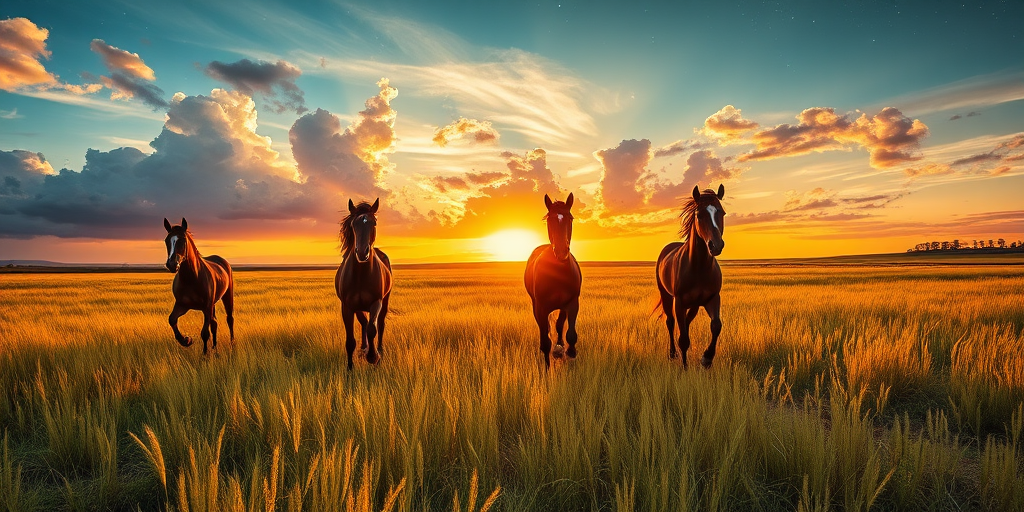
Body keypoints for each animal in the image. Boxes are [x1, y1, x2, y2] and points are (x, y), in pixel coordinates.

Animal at [163, 217, 234, 355]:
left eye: (183, 240)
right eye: (166, 240)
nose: (172, 264)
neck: (191, 278)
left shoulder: (206, 307)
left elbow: (205, 333)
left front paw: (204, 354)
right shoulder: (182, 305)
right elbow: (172, 319)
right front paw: (186, 340)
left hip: (227, 296)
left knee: (229, 319)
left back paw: (232, 344)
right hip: (212, 305)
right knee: (214, 323)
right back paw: (215, 348)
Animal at [336, 198, 393, 370]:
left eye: (374, 223)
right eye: (354, 224)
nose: (362, 253)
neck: (361, 274)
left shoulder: (376, 302)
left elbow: (372, 329)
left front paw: (373, 356)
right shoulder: (347, 307)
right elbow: (350, 341)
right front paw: (350, 369)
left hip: (385, 300)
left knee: (379, 323)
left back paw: (378, 349)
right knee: (364, 322)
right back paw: (363, 347)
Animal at [524, 193, 582, 368]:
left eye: (570, 218)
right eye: (549, 219)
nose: (562, 251)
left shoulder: (572, 303)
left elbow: (570, 333)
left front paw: (569, 352)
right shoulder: (540, 308)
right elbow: (545, 341)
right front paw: (546, 368)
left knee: (559, 324)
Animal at [655, 184, 727, 369]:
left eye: (722, 213)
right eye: (699, 214)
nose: (716, 245)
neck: (699, 267)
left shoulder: (712, 298)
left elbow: (716, 325)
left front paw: (707, 358)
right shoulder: (679, 302)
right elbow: (683, 339)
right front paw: (684, 368)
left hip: (694, 305)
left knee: (686, 323)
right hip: (666, 296)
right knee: (671, 322)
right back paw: (673, 354)